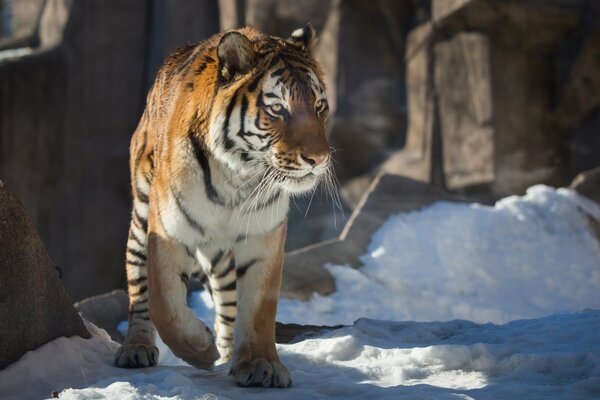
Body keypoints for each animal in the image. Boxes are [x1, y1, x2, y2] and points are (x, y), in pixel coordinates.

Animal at [113, 24, 332, 388]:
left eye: (319, 106)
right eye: (278, 109)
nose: (318, 159)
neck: (237, 179)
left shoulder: (263, 238)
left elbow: (258, 308)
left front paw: (259, 363)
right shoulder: (168, 232)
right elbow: (165, 304)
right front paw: (201, 349)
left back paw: (230, 348)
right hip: (141, 218)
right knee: (140, 291)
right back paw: (137, 348)